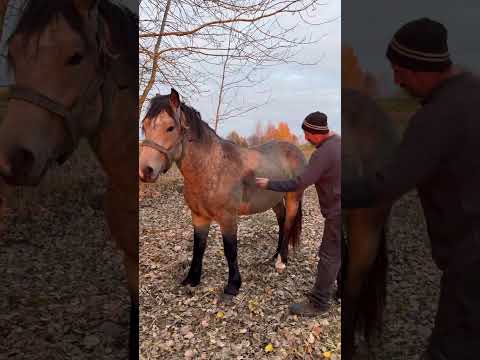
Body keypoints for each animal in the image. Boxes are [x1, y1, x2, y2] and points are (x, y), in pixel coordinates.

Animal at [139, 88, 304, 296]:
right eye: (144, 126)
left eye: (170, 128)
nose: (145, 170)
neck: (212, 168)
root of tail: (294, 150)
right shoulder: (199, 216)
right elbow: (198, 247)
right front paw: (192, 279)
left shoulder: (228, 218)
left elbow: (230, 250)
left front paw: (233, 285)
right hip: (275, 200)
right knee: (281, 221)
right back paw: (274, 256)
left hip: (293, 197)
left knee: (289, 223)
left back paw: (282, 261)